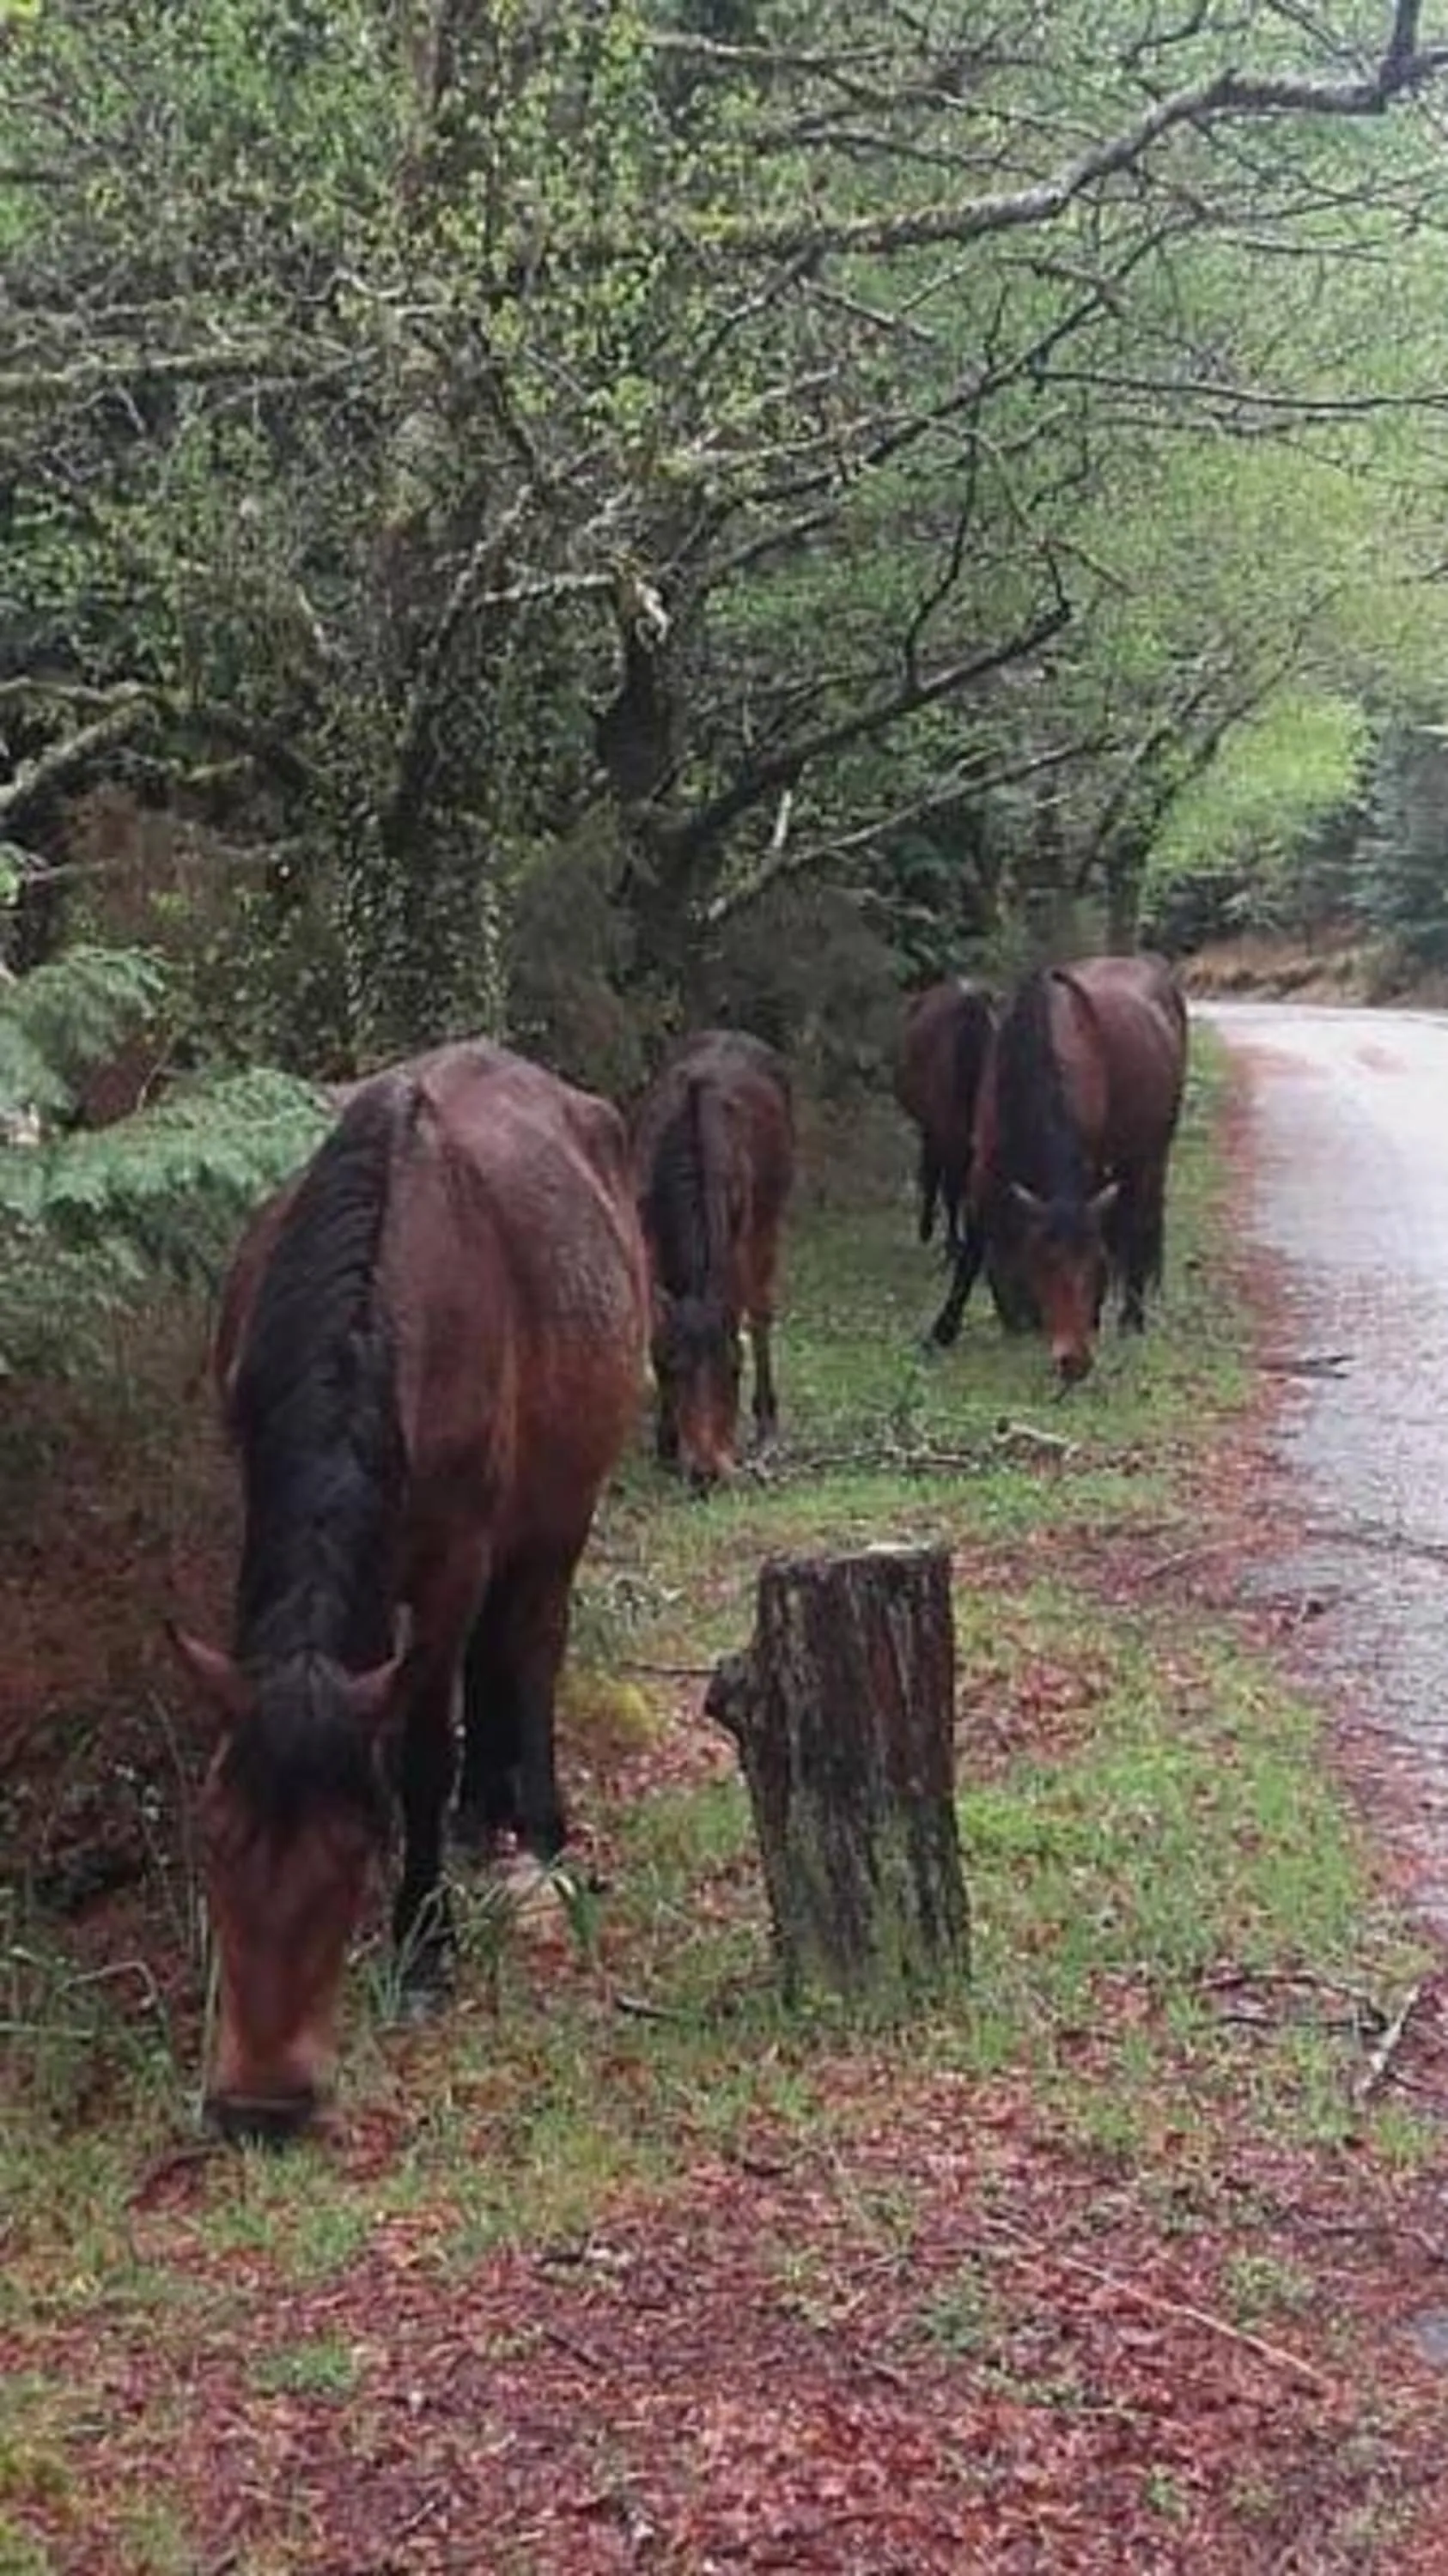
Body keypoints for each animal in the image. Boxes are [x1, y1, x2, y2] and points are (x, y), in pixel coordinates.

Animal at [168, 1041, 647, 2142]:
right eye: (214, 1838)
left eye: (355, 1847)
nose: (262, 2103)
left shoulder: (455, 1550)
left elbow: (424, 1745)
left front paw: (424, 1943)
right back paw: (484, 1815)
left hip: (560, 1504)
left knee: (531, 1640)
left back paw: (536, 1827)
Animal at [631, 1030, 795, 1491]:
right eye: (672, 1367)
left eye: (734, 1368)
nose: (707, 1471)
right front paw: (667, 1442)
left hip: (769, 1216)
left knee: (761, 1310)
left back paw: (766, 1422)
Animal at [928, 954, 1188, 1380]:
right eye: (1044, 1263)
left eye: (1095, 1265)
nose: (1075, 1362)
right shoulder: (985, 1165)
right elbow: (975, 1246)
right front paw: (945, 1329)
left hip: (1151, 1155)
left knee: (1140, 1224)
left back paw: (1131, 1318)